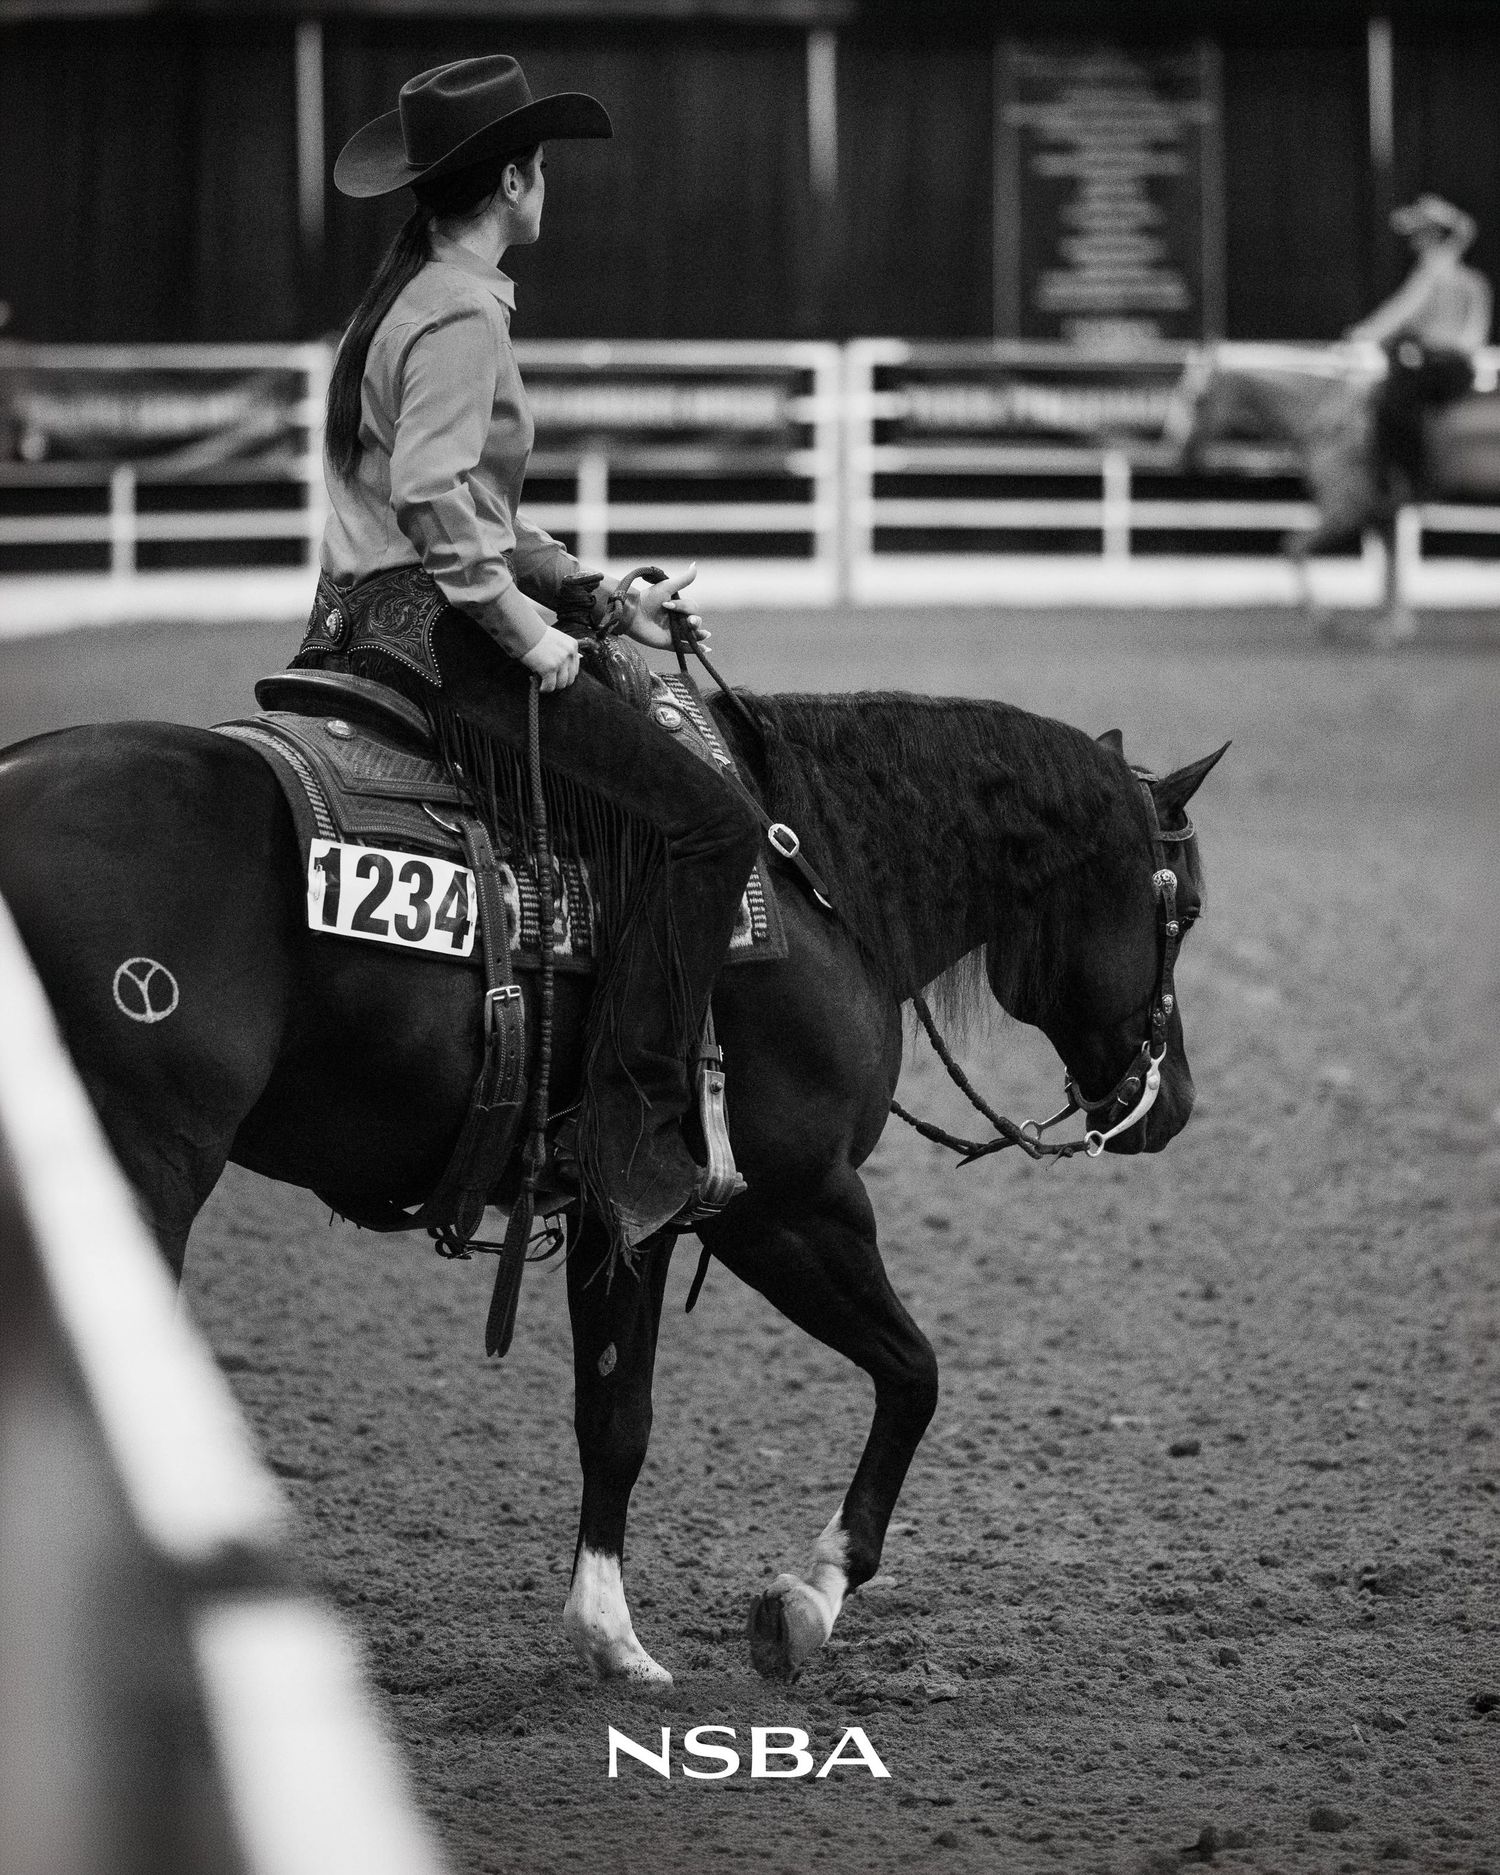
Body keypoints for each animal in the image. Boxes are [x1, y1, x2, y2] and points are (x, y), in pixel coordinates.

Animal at [0, 687, 1224, 1683]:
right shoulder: (788, 1206)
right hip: (142, 1176)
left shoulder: (624, 1216)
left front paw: (611, 1633)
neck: (822, 878)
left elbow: (614, 1415)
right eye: (1190, 910)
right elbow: (913, 1374)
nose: (1172, 1106)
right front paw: (807, 1597)